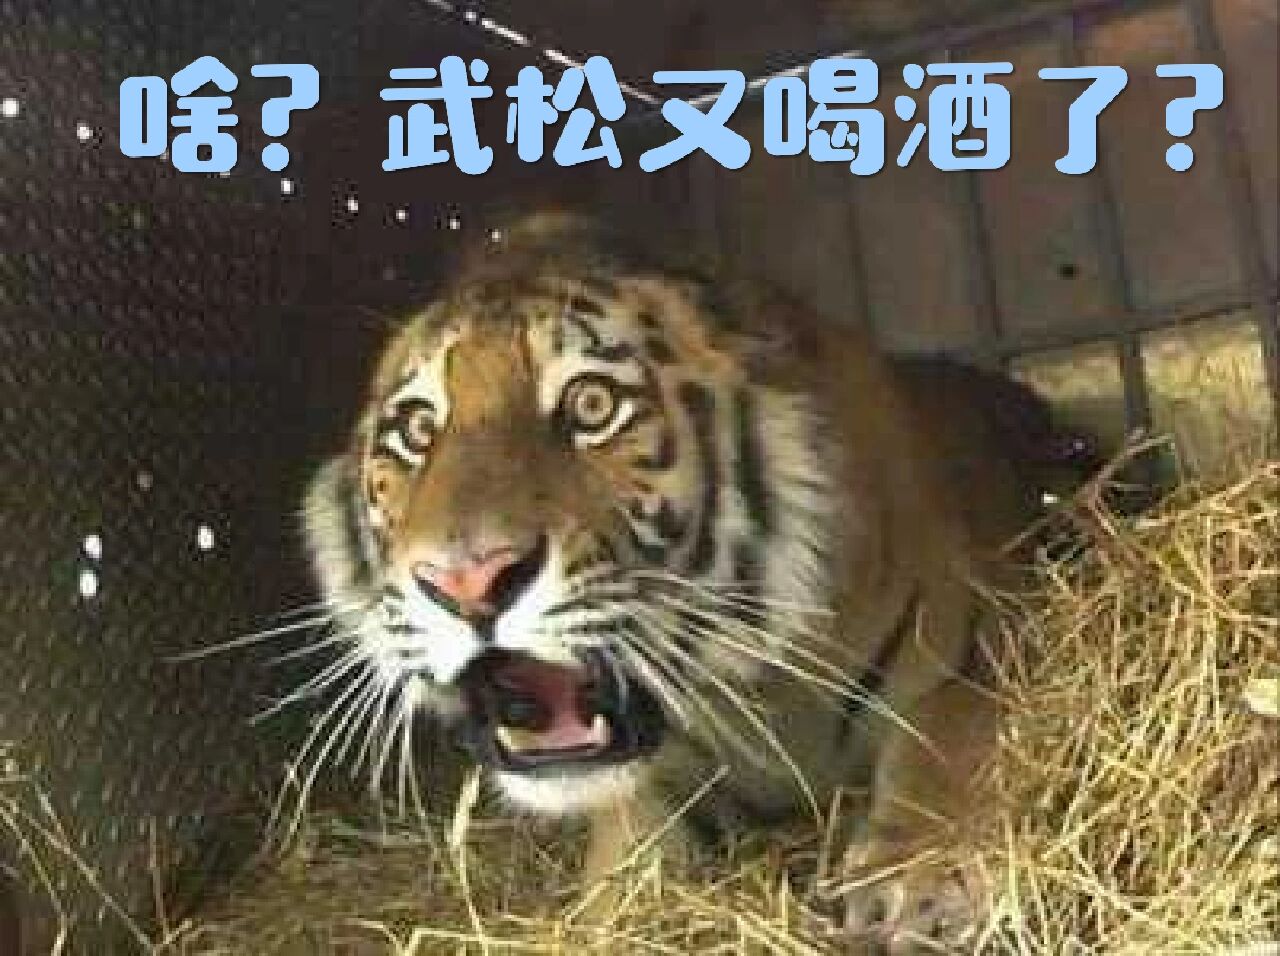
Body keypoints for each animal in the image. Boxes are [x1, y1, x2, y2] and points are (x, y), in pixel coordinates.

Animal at [301, 211, 1097, 950]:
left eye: (593, 405)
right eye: (416, 430)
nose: (467, 581)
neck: (760, 696)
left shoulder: (978, 645)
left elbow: (942, 745)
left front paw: (920, 882)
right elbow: (625, 854)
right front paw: (611, 921)